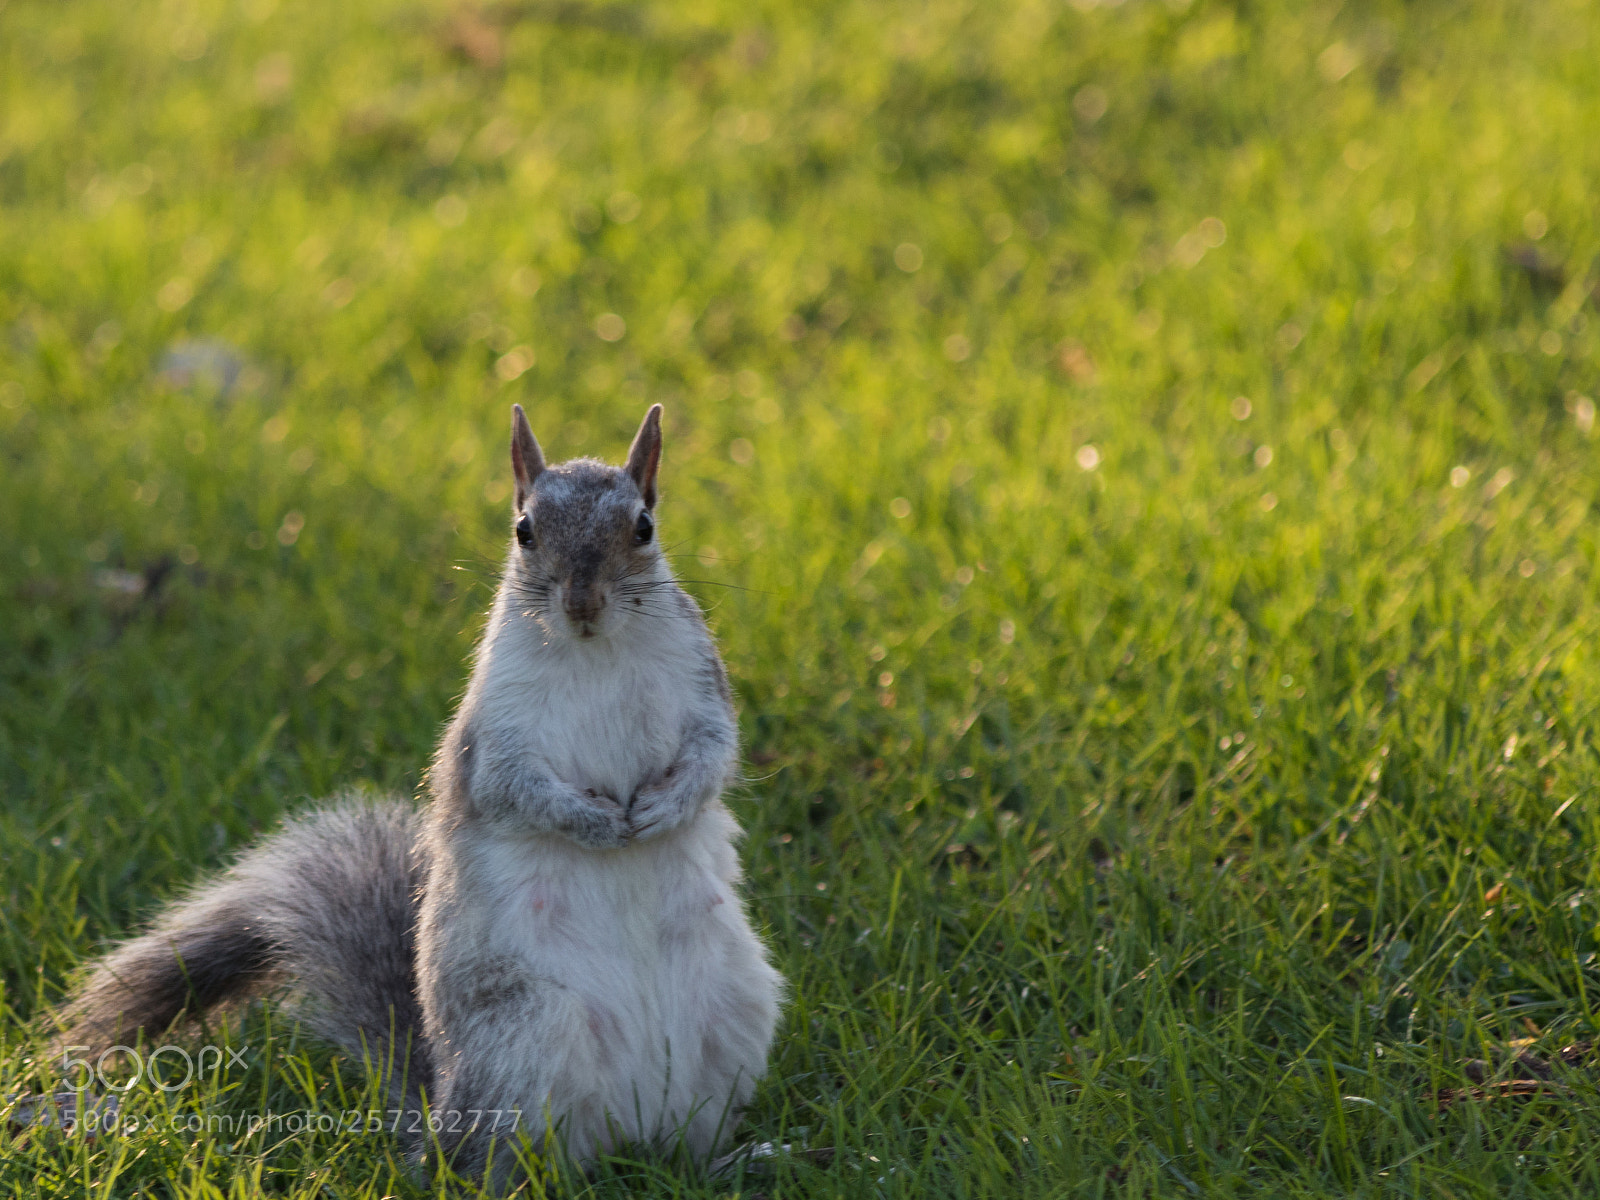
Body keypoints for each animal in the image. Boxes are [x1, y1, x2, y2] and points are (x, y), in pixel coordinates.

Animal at [57, 404, 784, 1185]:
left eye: (644, 527)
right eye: (524, 530)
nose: (582, 603)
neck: (596, 652)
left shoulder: (702, 688)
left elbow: (713, 754)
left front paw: (662, 808)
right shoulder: (492, 738)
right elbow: (514, 789)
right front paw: (592, 822)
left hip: (735, 1014)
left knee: (688, 1139)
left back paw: (736, 1158)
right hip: (523, 1038)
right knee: (503, 1164)